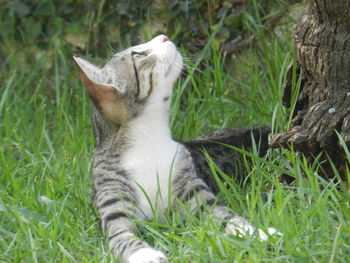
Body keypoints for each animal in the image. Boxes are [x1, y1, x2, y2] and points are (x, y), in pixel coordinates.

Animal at [72, 35, 280, 263]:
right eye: (138, 54)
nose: (163, 36)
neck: (149, 142)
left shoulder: (193, 193)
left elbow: (225, 216)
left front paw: (259, 234)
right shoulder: (113, 202)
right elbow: (122, 234)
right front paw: (144, 254)